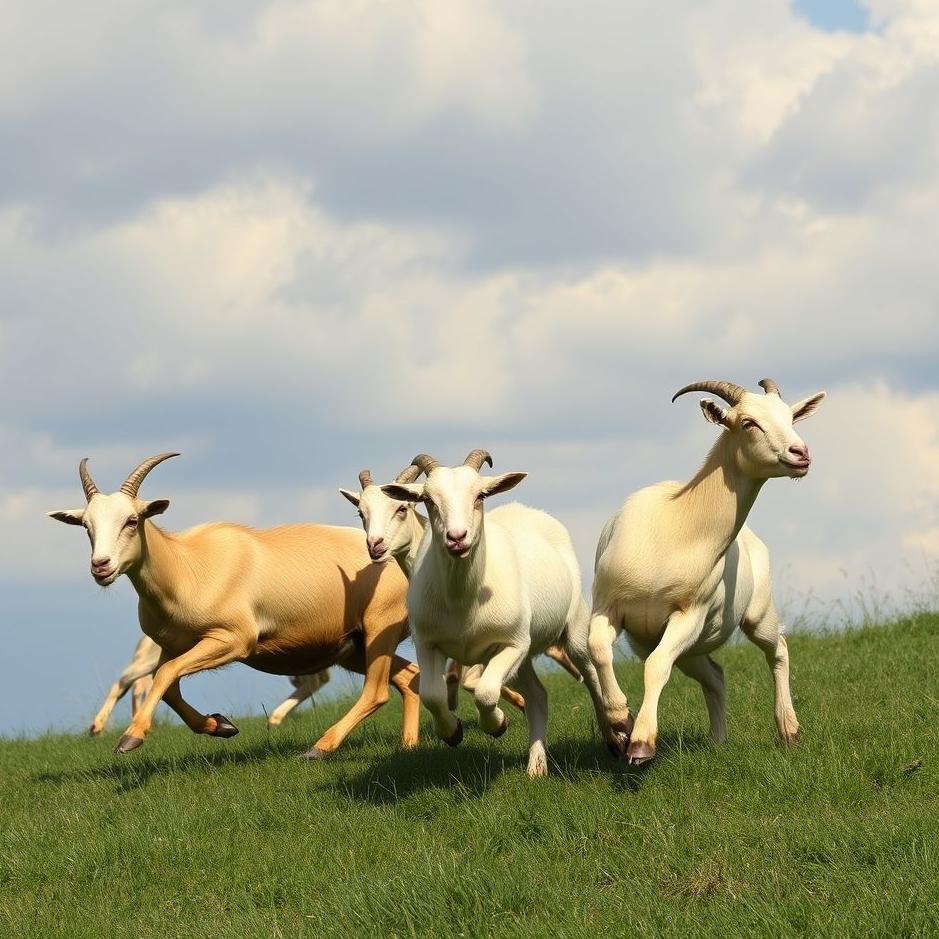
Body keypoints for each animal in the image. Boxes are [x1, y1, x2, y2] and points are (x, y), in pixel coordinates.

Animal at [383, 449, 610, 777]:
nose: (457, 537)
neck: (463, 599)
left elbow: (486, 692)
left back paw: (616, 734)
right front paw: (453, 732)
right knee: (538, 696)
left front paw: (497, 724)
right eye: (428, 500)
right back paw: (536, 769)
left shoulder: (512, 642)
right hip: (523, 652)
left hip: (572, 626)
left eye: (480, 495)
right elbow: (432, 695)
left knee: (591, 675)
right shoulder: (428, 642)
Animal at [589, 378, 826, 763]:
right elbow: (598, 649)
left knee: (778, 648)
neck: (674, 530)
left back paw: (788, 730)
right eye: (748, 422)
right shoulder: (606, 605)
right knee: (715, 675)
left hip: (757, 614)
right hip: (691, 650)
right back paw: (717, 741)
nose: (800, 453)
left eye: (791, 417)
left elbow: (656, 667)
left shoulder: (688, 615)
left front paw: (641, 743)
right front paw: (621, 721)